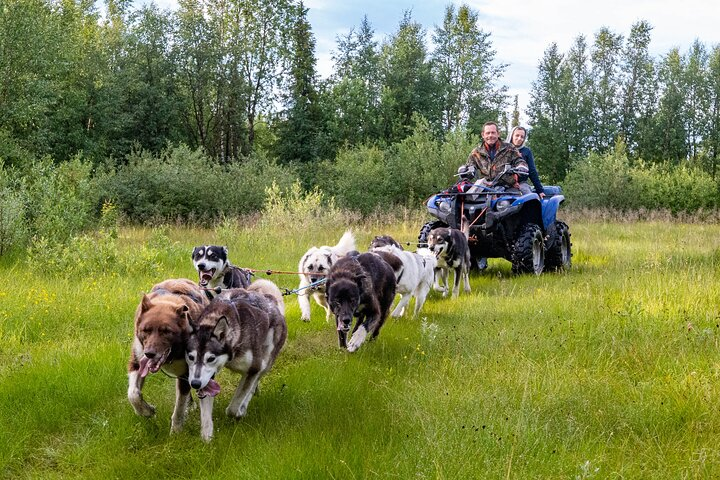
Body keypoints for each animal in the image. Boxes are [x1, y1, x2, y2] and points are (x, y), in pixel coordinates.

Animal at [126, 278, 208, 432]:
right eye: (146, 330)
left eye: (166, 331)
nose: (149, 354)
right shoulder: (137, 359)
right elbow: (133, 394)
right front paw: (147, 411)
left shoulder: (186, 372)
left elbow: (179, 406)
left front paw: (176, 430)